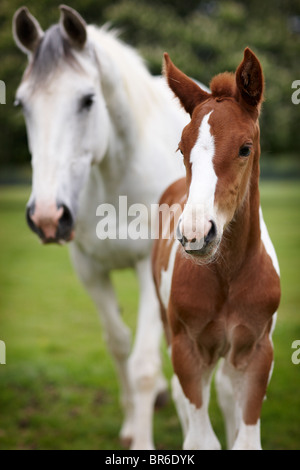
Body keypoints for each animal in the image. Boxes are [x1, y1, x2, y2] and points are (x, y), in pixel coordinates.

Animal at [14, 3, 189, 450]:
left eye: (88, 100)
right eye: (21, 104)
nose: (46, 216)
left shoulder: (149, 269)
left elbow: (143, 364)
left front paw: (143, 443)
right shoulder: (89, 271)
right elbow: (118, 344)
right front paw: (130, 425)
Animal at [152, 49, 282, 450]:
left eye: (245, 148)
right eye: (182, 148)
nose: (196, 234)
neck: (228, 274)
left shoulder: (257, 350)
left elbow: (246, 438)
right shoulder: (188, 350)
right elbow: (200, 439)